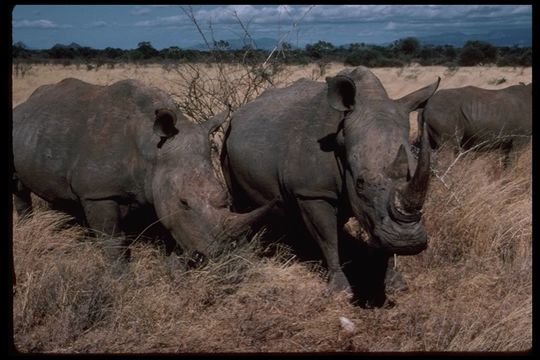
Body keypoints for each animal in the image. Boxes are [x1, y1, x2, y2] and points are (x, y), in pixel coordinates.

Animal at [12, 79, 272, 262]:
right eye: (184, 203)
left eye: (226, 197)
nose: (221, 254)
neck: (152, 150)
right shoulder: (97, 192)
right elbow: (113, 240)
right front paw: (119, 278)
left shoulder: (151, 185)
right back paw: (27, 226)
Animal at [223, 67, 438, 306]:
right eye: (361, 183)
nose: (408, 242)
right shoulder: (312, 192)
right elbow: (328, 238)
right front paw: (339, 291)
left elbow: (381, 233)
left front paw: (395, 283)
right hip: (228, 137)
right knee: (239, 201)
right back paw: (248, 252)